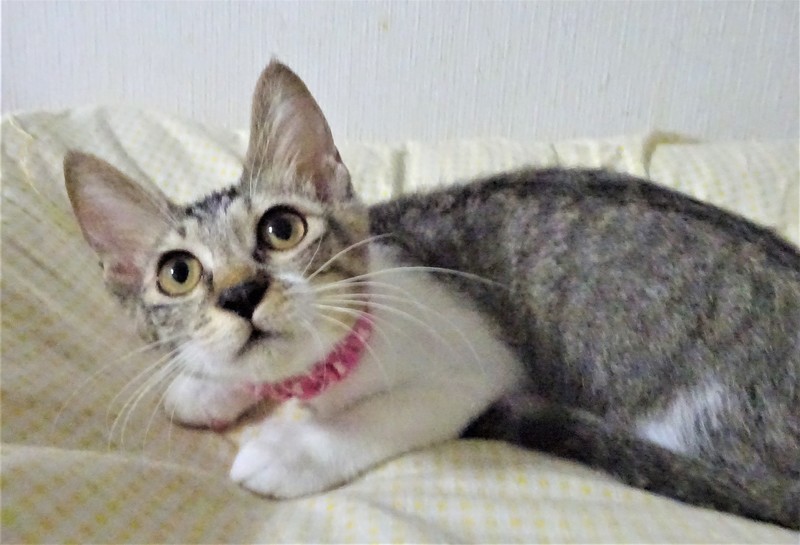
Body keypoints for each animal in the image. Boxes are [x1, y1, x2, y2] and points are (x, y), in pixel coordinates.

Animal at [64, 61, 800, 530]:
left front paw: (292, 449)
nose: (243, 292)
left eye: (282, 229)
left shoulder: (479, 365)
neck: (327, 372)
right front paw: (207, 384)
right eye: (178, 273)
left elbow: (381, 416)